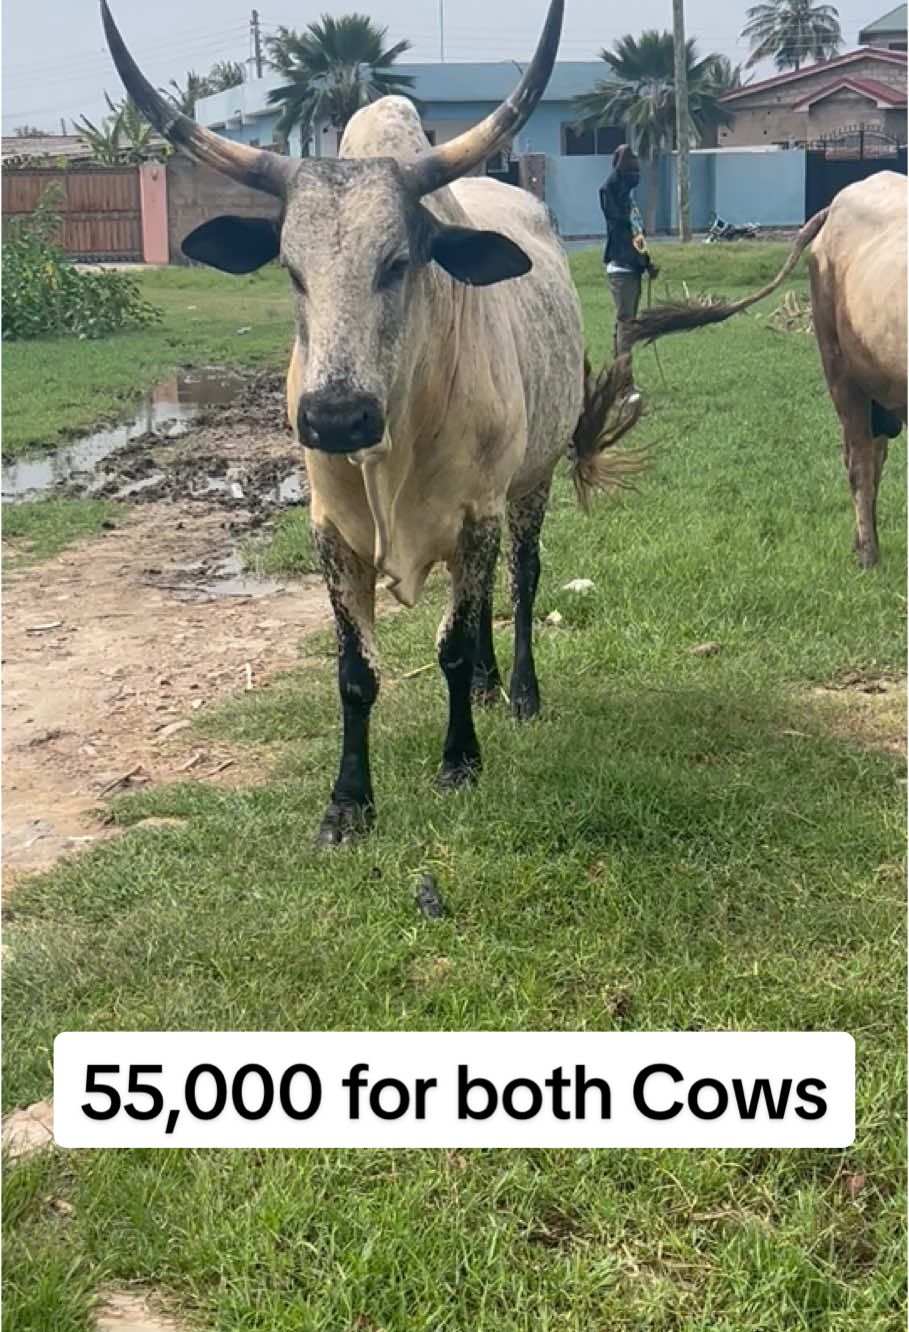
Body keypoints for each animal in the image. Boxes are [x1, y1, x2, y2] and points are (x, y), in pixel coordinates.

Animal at [101, 0, 644, 845]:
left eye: (398, 262)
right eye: (290, 269)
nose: (334, 417)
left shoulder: (477, 510)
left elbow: (451, 642)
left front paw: (460, 761)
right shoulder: (332, 530)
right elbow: (354, 672)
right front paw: (347, 802)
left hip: (531, 481)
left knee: (519, 582)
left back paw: (517, 692)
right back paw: (488, 685)